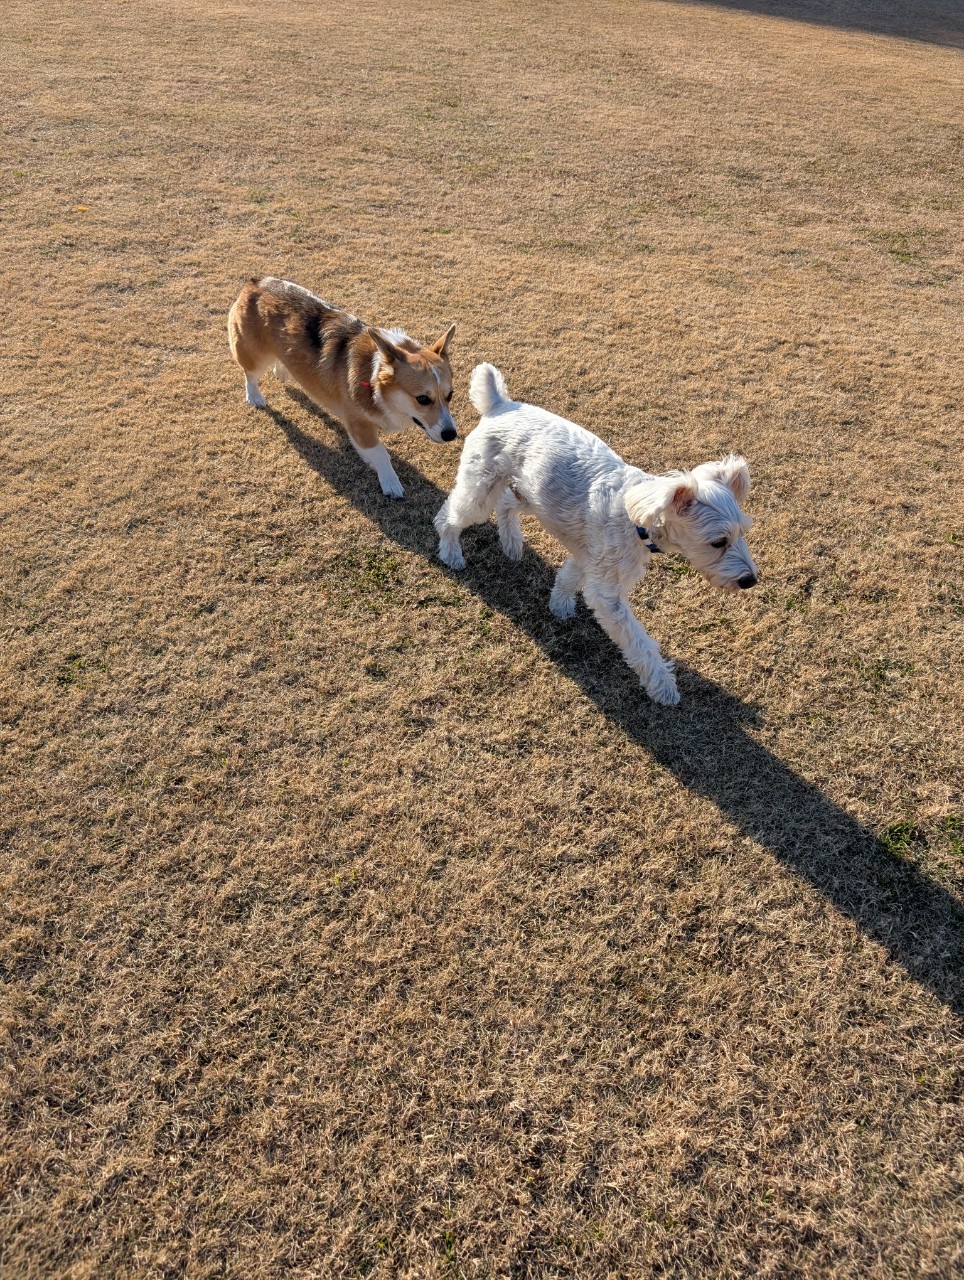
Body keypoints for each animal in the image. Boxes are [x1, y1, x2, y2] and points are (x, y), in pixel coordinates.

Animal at [228, 276, 457, 498]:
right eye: (423, 399)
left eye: (450, 395)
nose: (451, 435)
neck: (374, 377)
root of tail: (255, 283)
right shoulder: (359, 426)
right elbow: (381, 453)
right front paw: (391, 483)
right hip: (254, 353)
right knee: (250, 373)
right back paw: (255, 397)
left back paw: (283, 371)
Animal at [434, 364, 758, 705]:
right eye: (718, 542)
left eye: (742, 533)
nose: (750, 581)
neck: (635, 514)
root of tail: (499, 403)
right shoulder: (607, 592)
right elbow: (640, 643)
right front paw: (663, 685)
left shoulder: (589, 556)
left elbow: (568, 577)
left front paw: (559, 605)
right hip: (480, 491)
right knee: (449, 516)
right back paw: (451, 553)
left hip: (531, 496)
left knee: (506, 504)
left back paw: (511, 543)